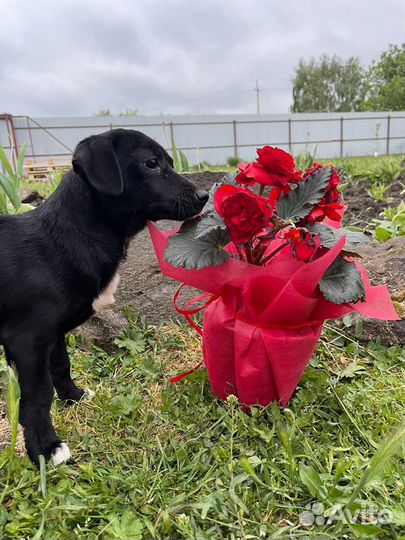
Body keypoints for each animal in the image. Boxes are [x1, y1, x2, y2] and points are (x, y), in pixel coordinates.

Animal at [0, 130, 207, 464]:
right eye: (151, 163)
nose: (204, 196)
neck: (69, 235)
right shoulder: (27, 340)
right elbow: (38, 396)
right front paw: (46, 449)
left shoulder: (53, 335)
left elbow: (61, 366)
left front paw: (74, 398)